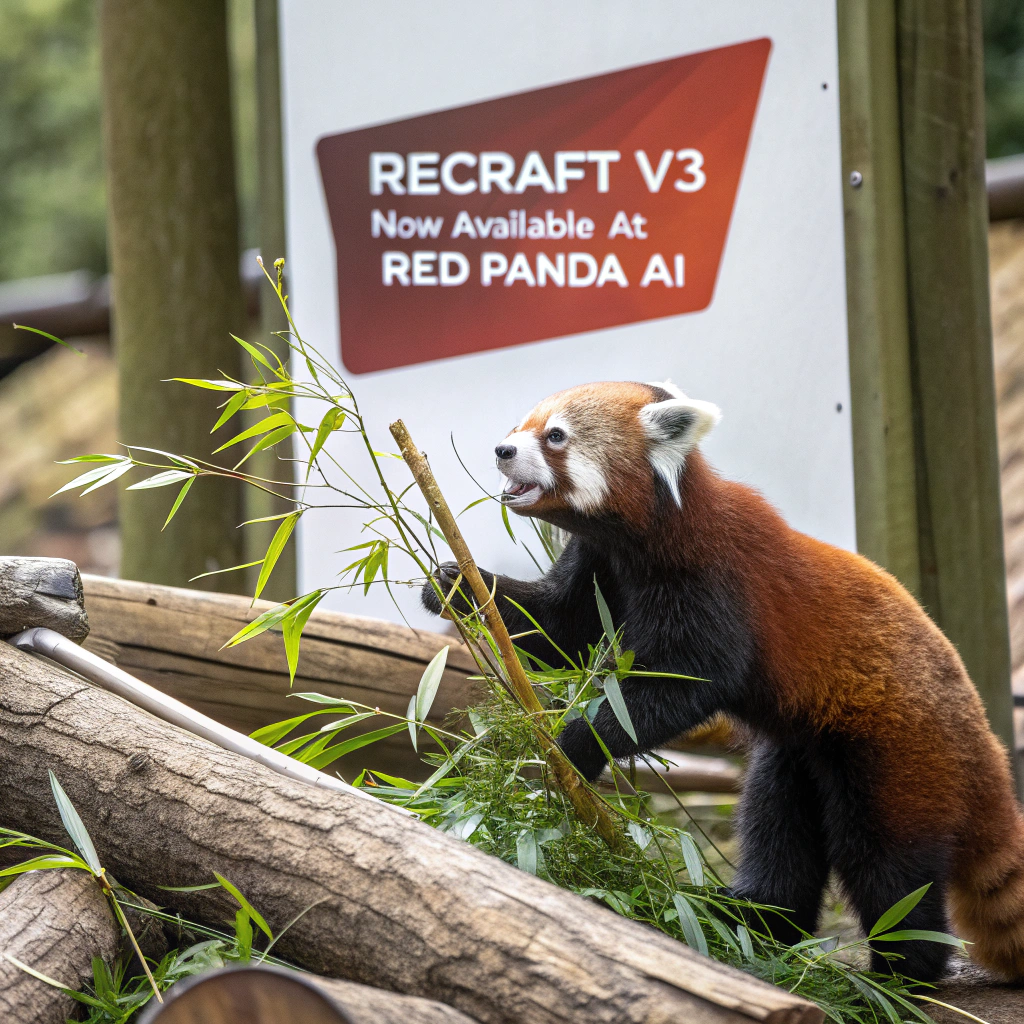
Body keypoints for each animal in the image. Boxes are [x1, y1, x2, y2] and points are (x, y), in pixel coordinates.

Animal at [422, 379, 1024, 983]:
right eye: (522, 425)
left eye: (554, 437)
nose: (501, 449)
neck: (649, 536)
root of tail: (984, 745)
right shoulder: (600, 564)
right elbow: (560, 628)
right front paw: (455, 585)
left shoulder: (715, 578)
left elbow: (685, 684)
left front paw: (578, 744)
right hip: (803, 750)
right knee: (778, 830)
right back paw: (750, 920)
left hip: (897, 756)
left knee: (887, 865)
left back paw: (896, 975)